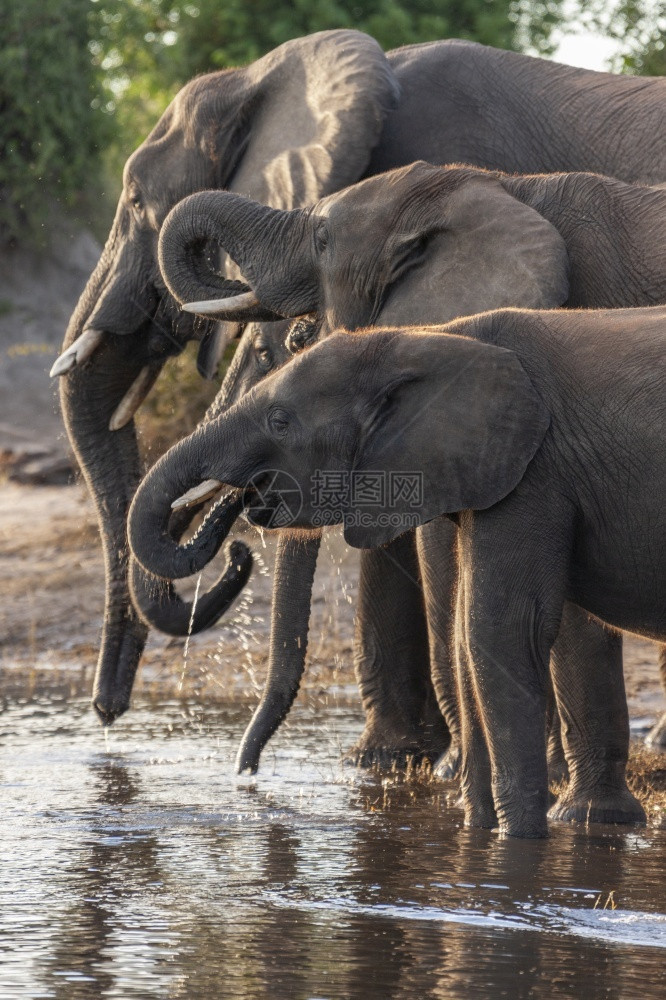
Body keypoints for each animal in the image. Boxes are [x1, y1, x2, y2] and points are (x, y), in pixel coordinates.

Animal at [136, 164, 666, 820]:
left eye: (322, 240)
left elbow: (532, 620)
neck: (498, 186)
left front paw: (583, 820)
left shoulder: (550, 451)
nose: (247, 775)